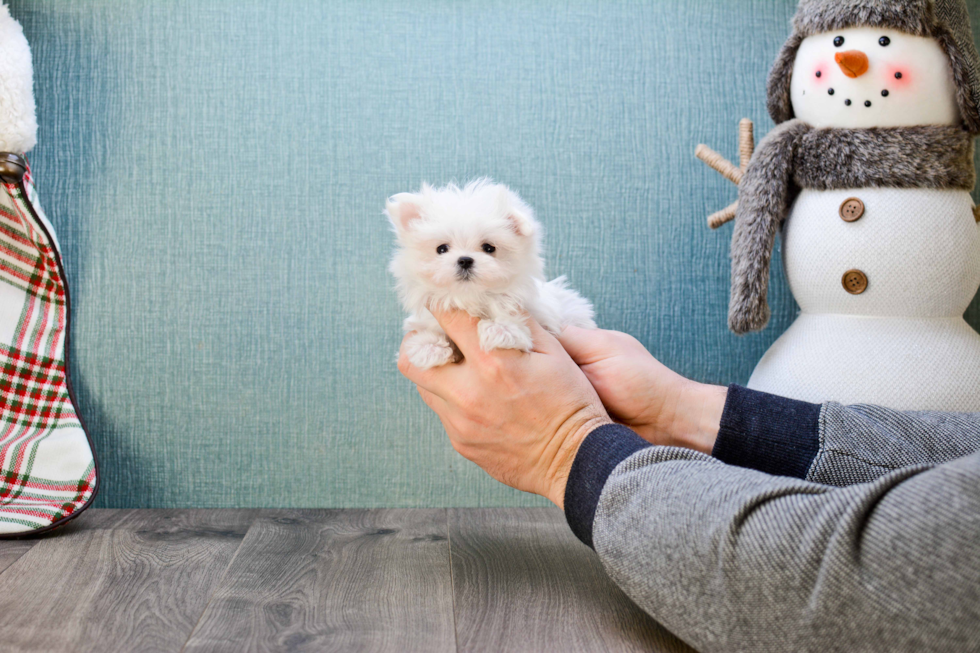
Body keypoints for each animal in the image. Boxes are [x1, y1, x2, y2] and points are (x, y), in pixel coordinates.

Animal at [386, 178, 592, 370]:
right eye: (441, 249)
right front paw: (427, 346)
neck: (471, 299)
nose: (465, 260)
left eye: (489, 248)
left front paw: (501, 329)